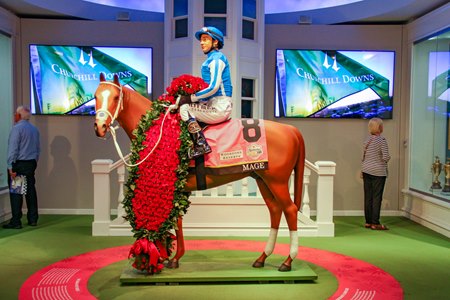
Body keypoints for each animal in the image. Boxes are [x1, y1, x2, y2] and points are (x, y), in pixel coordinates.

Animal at [94, 73, 306, 272]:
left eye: (115, 97)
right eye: (95, 96)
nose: (100, 127)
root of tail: (290, 129)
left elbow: (175, 221)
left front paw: (165, 257)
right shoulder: (178, 189)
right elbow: (178, 221)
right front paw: (172, 257)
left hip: (277, 181)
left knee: (290, 210)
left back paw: (288, 261)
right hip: (263, 179)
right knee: (275, 211)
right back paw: (262, 257)